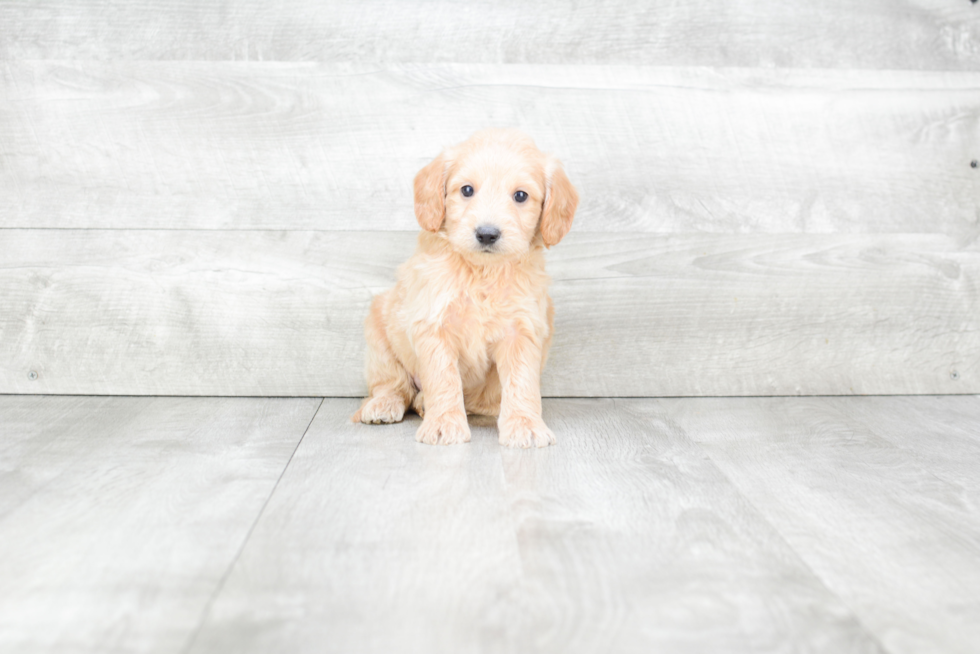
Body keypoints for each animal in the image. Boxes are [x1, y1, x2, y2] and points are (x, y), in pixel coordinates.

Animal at [352, 132, 580, 452]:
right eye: (467, 190)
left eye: (521, 196)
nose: (487, 234)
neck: (481, 272)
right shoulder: (433, 325)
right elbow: (443, 379)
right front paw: (443, 424)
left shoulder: (522, 329)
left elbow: (521, 381)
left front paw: (525, 424)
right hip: (379, 336)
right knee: (393, 384)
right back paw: (384, 405)